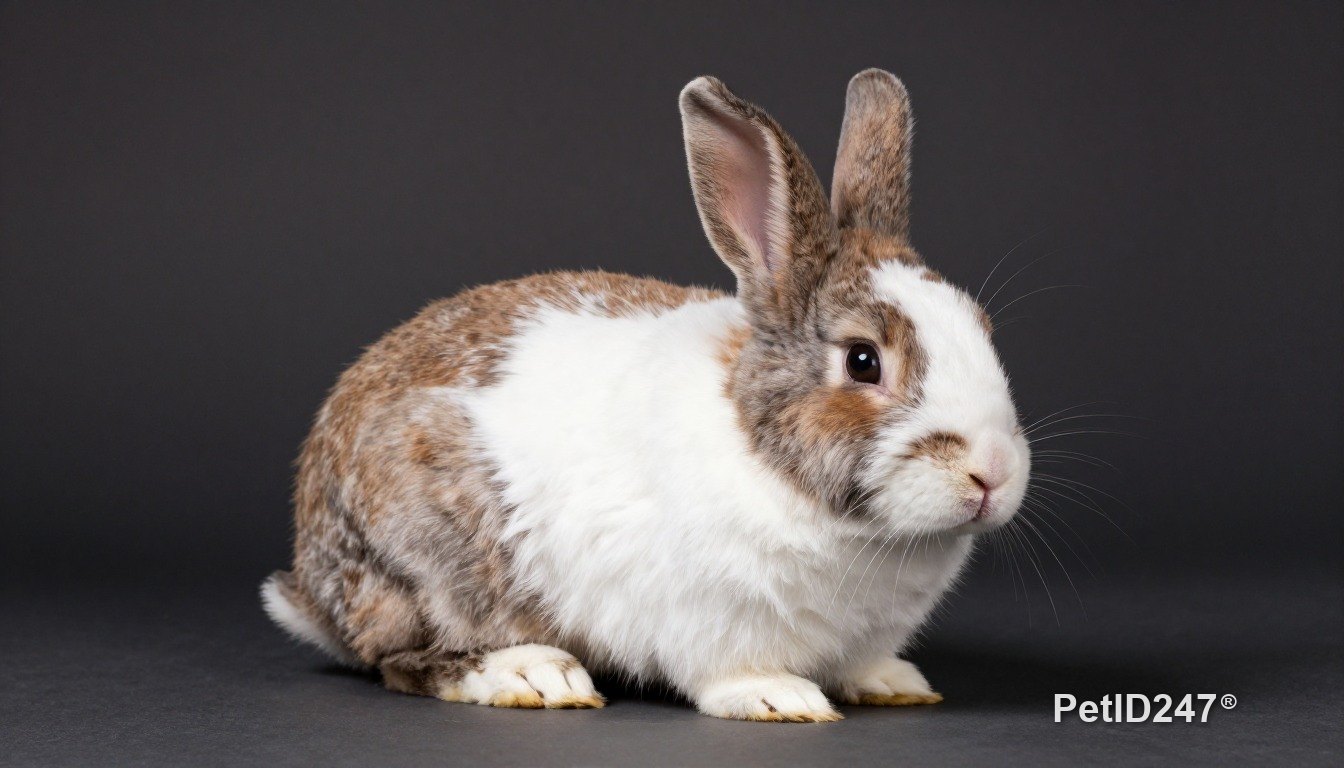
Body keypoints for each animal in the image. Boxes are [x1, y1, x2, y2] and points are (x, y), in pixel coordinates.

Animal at [262, 69, 1030, 722]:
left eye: (984, 331)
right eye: (864, 361)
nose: (991, 473)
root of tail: (312, 585)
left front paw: (895, 682)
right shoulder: (708, 618)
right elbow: (731, 673)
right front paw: (781, 699)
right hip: (426, 560)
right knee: (404, 656)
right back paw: (534, 674)